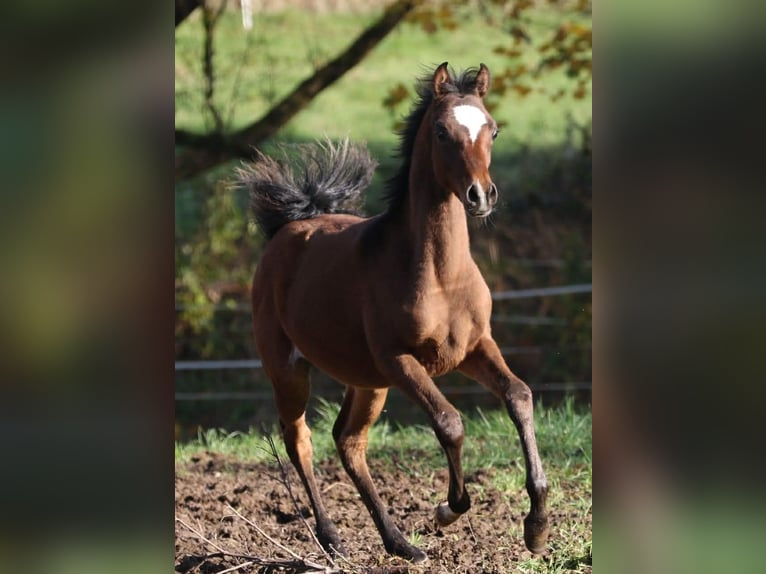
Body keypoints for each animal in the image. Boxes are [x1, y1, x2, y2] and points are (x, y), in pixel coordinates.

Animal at [237, 62, 549, 563]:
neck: (440, 276)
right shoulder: (400, 360)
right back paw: (333, 538)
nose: (481, 196)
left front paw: (537, 527)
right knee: (298, 438)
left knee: (348, 441)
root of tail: (290, 227)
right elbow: (450, 423)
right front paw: (448, 509)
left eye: (494, 130)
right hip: (289, 369)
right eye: (441, 131)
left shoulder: (474, 347)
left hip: (367, 382)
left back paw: (400, 542)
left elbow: (519, 397)